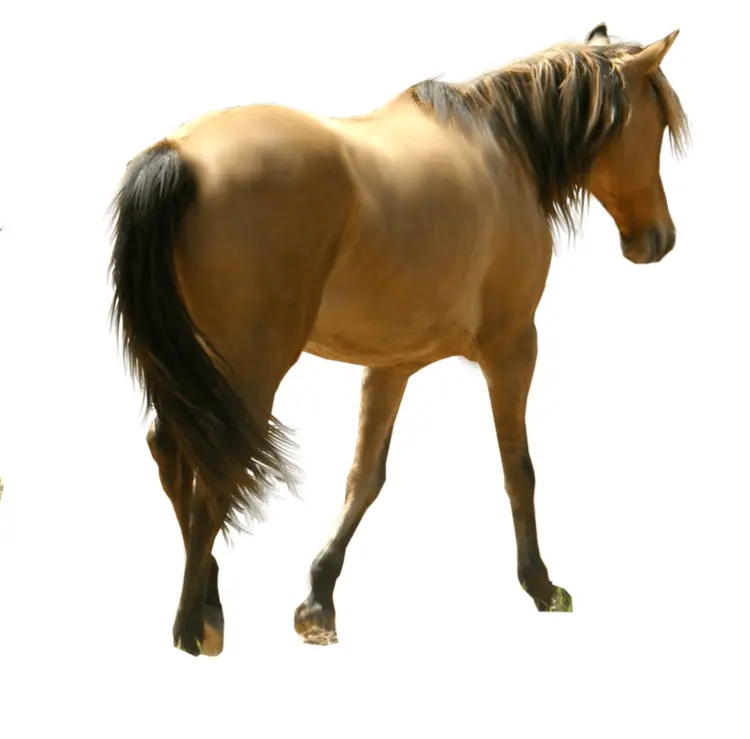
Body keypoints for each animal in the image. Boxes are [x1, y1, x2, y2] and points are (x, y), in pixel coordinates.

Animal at [109, 22, 689, 656]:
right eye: (657, 124)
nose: (659, 239)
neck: (505, 151)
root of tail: (179, 154)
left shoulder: (392, 365)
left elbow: (365, 477)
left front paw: (319, 599)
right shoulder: (513, 346)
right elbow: (519, 469)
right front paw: (541, 585)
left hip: (193, 366)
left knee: (172, 452)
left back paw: (208, 603)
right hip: (249, 368)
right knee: (213, 469)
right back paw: (191, 626)